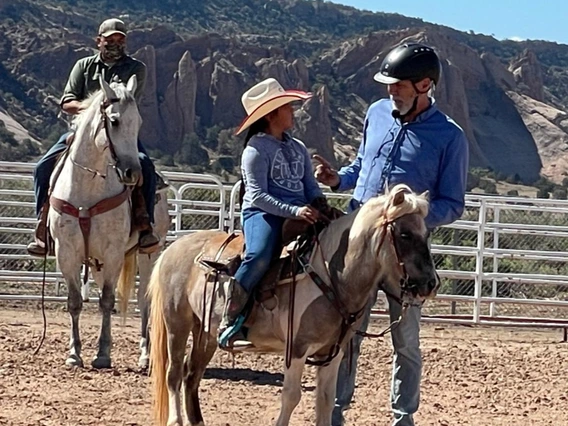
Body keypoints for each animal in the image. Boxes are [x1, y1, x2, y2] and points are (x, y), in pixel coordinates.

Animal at [48, 76, 166, 370]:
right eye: (114, 121)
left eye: (139, 122)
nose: (132, 173)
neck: (87, 188)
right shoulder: (66, 252)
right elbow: (75, 302)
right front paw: (74, 353)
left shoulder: (114, 253)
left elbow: (107, 300)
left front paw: (102, 354)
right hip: (97, 261)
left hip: (149, 253)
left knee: (145, 301)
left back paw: (145, 356)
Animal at [148, 186, 440, 426]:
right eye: (404, 234)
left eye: (427, 233)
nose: (430, 284)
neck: (329, 275)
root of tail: (173, 248)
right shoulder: (297, 349)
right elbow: (291, 397)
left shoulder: (333, 352)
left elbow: (325, 401)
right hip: (177, 323)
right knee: (174, 374)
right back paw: (175, 420)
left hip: (205, 332)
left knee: (191, 375)